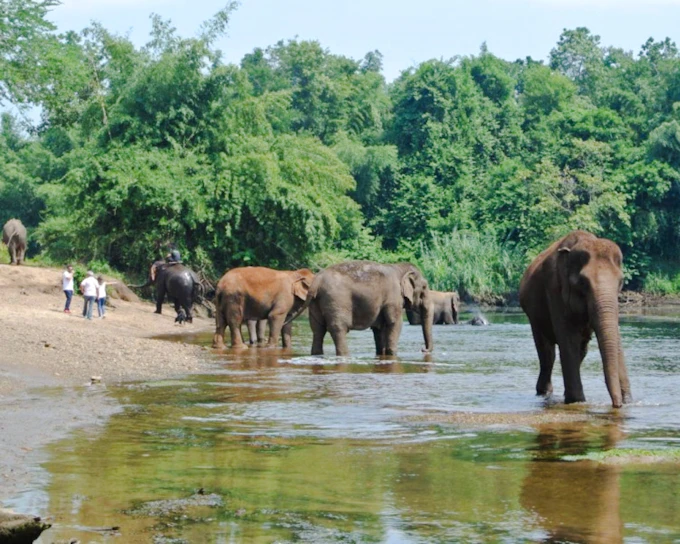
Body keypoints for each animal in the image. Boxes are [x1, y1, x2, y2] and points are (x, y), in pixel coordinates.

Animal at [287, 261, 433, 357]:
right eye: (425, 287)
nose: (423, 349)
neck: (399, 268)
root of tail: (316, 281)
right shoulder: (393, 297)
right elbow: (394, 323)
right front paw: (392, 354)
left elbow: (379, 328)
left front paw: (382, 354)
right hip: (337, 300)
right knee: (338, 328)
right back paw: (345, 354)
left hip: (315, 303)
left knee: (318, 330)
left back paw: (317, 354)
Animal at [519, 230, 632, 408]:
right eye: (583, 283)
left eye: (621, 282)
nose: (617, 404)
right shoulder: (554, 290)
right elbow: (568, 339)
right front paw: (577, 401)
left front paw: (629, 401)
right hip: (533, 315)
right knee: (547, 353)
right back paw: (544, 393)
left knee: (581, 350)